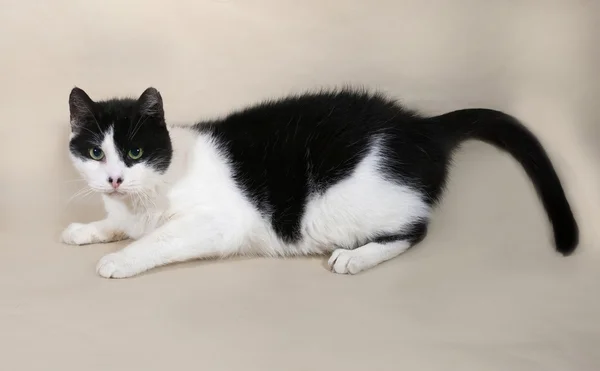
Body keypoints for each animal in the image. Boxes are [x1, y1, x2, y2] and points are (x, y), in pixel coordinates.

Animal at [62, 87, 580, 280]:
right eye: (95, 153)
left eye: (135, 153)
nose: (114, 177)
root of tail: (420, 127)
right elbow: (119, 224)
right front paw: (86, 230)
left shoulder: (218, 222)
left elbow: (159, 239)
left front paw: (119, 259)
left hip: (345, 205)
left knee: (415, 230)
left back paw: (356, 257)